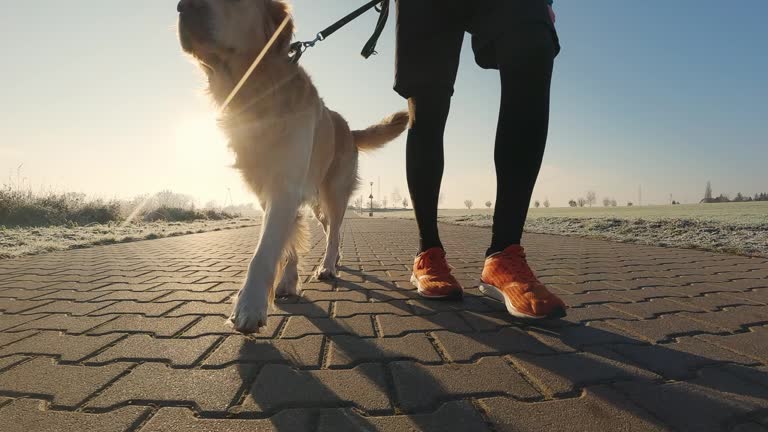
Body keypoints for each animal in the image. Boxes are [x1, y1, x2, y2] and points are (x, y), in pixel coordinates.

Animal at [178, 0, 412, 334]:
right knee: (329, 229)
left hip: (334, 192)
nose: (183, 7)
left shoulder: (285, 186)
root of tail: (348, 128)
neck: (255, 89)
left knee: (335, 230)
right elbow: (287, 240)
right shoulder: (268, 191)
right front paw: (287, 281)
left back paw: (327, 267)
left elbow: (264, 252)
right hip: (316, 201)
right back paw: (332, 261)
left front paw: (249, 306)